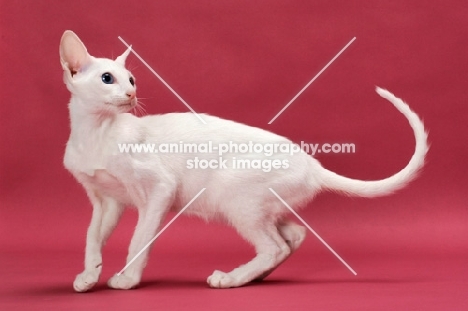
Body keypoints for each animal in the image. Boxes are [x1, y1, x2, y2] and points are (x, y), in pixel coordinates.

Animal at [60, 29, 430, 292]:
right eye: (107, 79)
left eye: (132, 79)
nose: (132, 94)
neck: (95, 132)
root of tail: (313, 166)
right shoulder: (106, 201)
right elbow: (92, 238)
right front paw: (88, 276)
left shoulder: (159, 190)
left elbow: (139, 240)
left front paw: (126, 279)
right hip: (257, 205)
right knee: (293, 236)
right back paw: (254, 276)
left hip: (234, 196)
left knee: (274, 246)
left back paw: (231, 278)